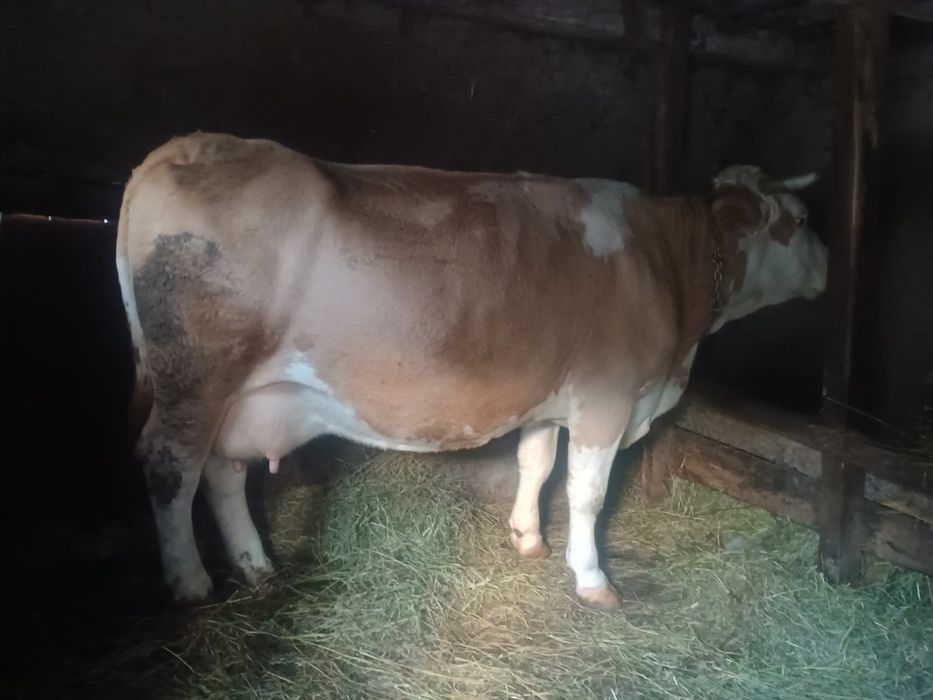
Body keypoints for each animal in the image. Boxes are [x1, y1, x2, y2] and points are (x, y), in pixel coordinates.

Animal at [116, 132, 827, 609]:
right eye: (799, 221)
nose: (829, 266)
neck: (669, 268)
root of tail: (186, 146)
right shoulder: (609, 397)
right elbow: (588, 493)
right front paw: (592, 578)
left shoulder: (550, 394)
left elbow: (536, 463)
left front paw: (528, 538)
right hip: (194, 377)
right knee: (170, 466)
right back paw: (191, 580)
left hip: (239, 396)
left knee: (222, 470)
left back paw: (254, 564)